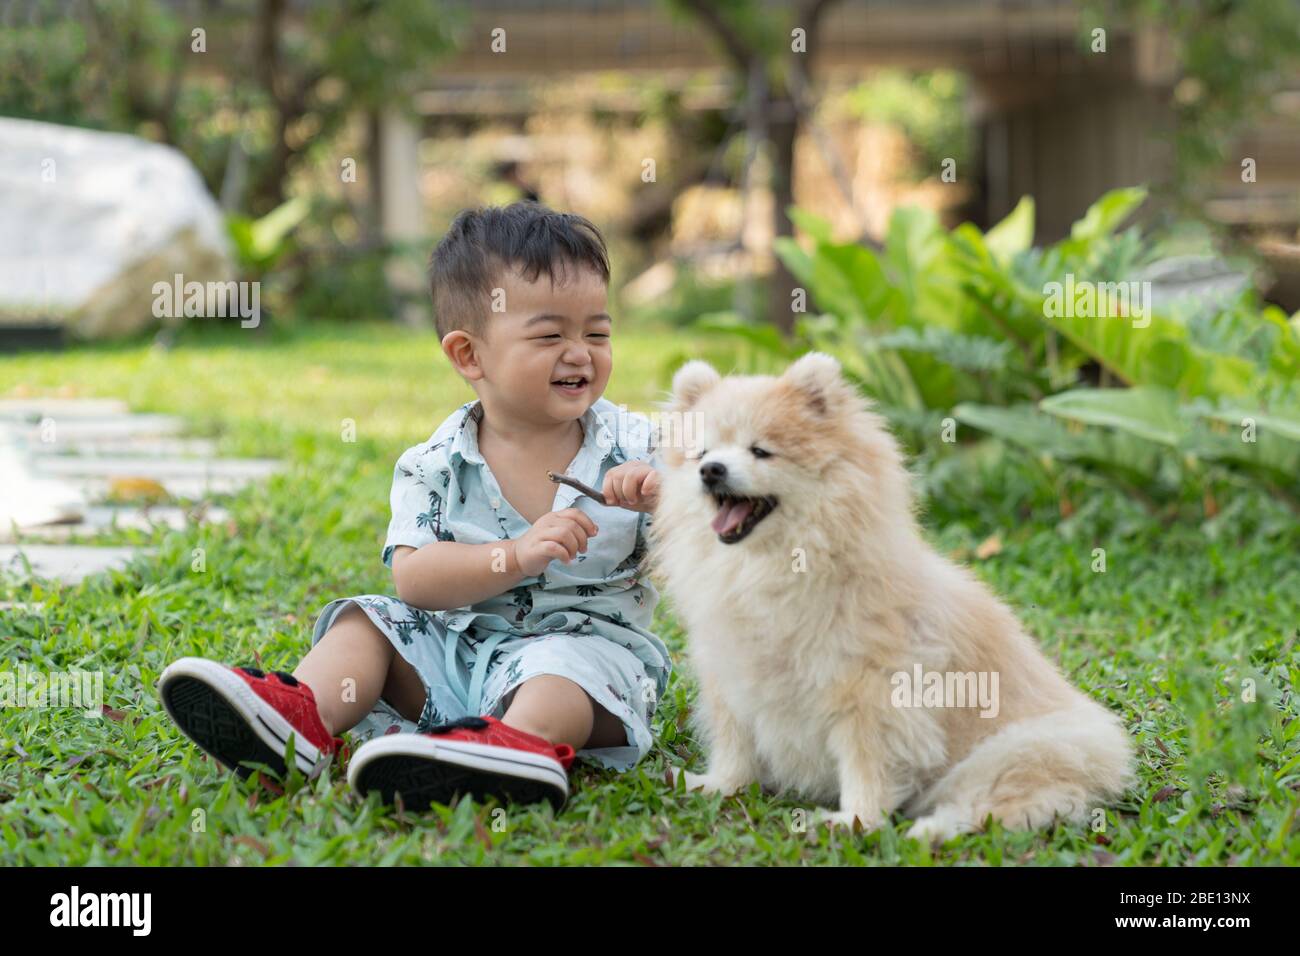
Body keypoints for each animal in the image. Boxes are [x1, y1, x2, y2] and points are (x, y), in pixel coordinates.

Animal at [644, 351, 1133, 837]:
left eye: (760, 451)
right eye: (702, 453)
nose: (711, 470)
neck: (769, 566)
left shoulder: (872, 691)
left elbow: (867, 761)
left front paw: (855, 819)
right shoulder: (731, 676)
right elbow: (735, 744)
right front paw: (720, 786)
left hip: (1018, 750)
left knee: (995, 803)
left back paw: (932, 831)